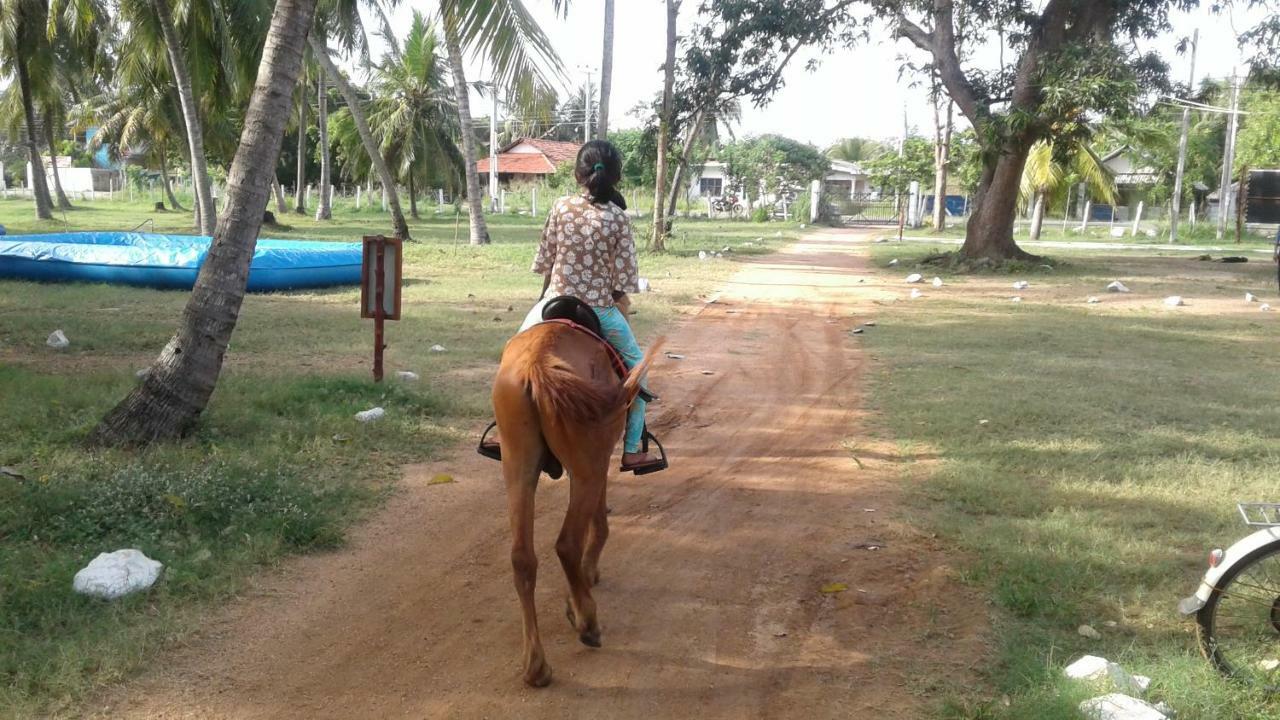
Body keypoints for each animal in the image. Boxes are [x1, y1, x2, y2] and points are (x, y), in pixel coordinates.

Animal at [488, 317, 665, 681]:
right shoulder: (599, 458)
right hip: (587, 464)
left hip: (517, 465)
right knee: (567, 543)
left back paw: (536, 666)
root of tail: (537, 363)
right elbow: (599, 522)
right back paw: (587, 622)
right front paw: (586, 579)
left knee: (522, 557)